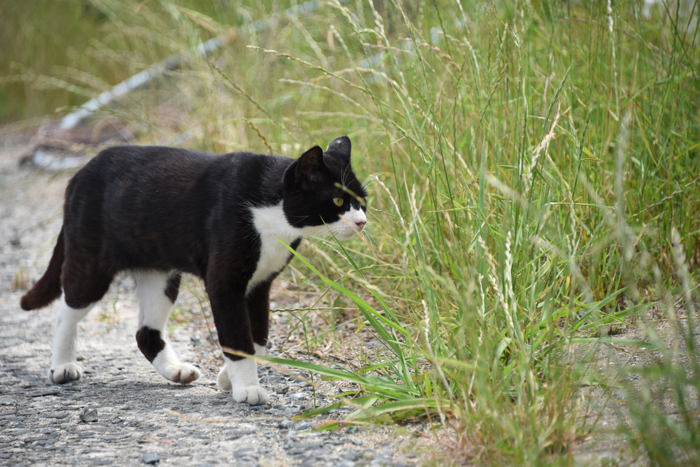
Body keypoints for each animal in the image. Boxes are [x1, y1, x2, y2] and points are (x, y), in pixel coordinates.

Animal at [19, 136, 370, 406]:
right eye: (338, 200)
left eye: (362, 200)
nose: (362, 221)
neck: (272, 216)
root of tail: (79, 173)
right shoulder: (224, 283)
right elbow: (237, 336)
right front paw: (247, 388)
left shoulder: (260, 285)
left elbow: (257, 337)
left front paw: (228, 379)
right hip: (91, 260)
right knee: (67, 309)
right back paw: (63, 366)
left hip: (160, 275)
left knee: (145, 331)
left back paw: (176, 370)